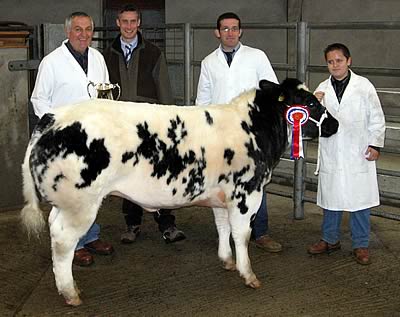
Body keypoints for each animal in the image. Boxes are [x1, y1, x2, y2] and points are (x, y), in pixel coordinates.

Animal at [19, 78, 338, 304]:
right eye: (310, 103)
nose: (334, 124)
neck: (254, 128)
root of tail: (53, 117)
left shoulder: (221, 196)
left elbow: (223, 228)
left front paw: (227, 261)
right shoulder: (246, 193)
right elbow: (242, 234)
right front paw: (248, 274)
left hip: (66, 202)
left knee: (54, 227)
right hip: (81, 203)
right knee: (63, 241)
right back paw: (70, 293)